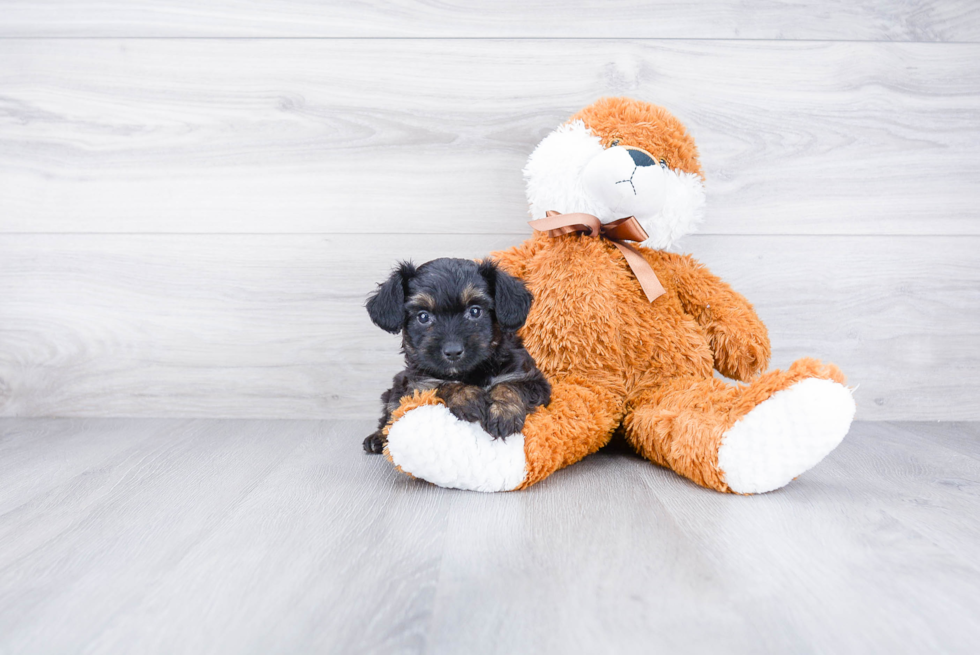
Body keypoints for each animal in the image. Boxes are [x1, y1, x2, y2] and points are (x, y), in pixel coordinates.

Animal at [364, 258, 552, 454]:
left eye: (475, 311)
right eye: (423, 317)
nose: (453, 351)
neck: (472, 371)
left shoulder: (533, 380)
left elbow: (509, 386)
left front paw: (504, 413)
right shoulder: (418, 384)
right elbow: (443, 384)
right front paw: (467, 397)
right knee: (390, 413)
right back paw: (377, 438)